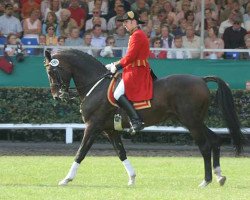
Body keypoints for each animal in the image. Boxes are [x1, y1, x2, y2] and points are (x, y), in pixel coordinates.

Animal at [43, 48, 244, 188]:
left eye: (52, 72)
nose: (57, 96)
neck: (96, 85)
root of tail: (201, 79)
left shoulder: (93, 126)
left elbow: (81, 152)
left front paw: (66, 179)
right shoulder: (109, 130)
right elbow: (121, 152)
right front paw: (132, 179)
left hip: (191, 122)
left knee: (205, 146)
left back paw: (206, 180)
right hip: (194, 121)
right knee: (215, 140)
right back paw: (219, 176)